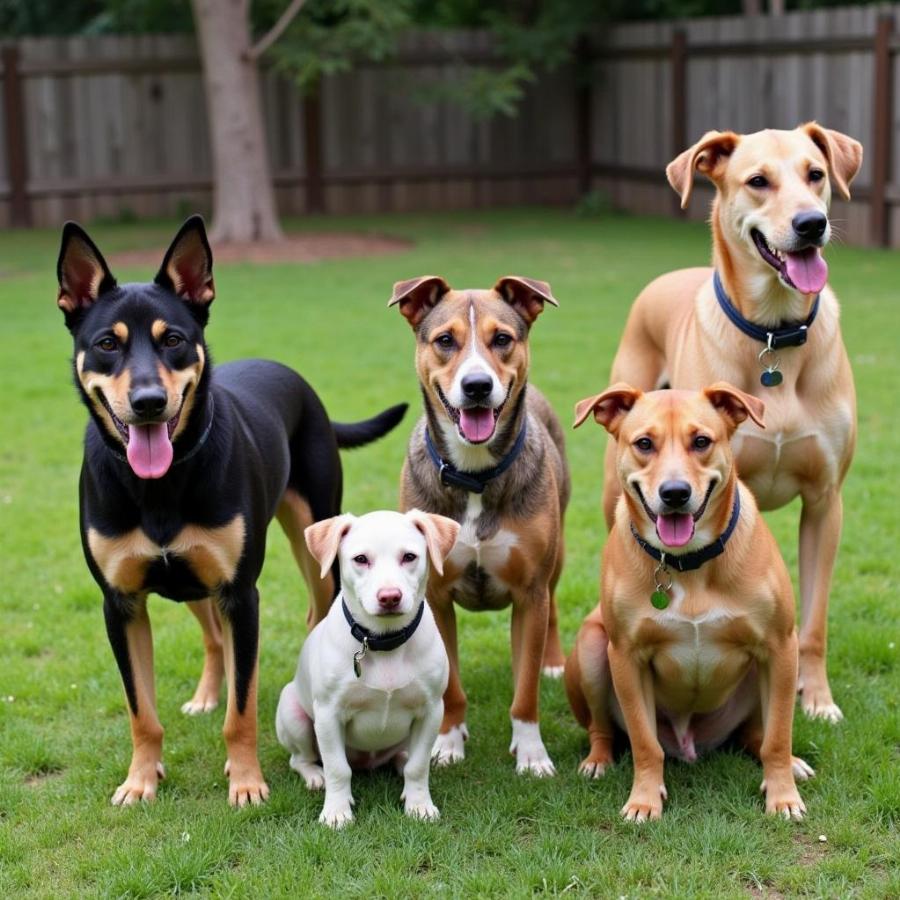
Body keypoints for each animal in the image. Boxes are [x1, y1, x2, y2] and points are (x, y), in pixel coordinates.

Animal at [57, 220, 404, 808]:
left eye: (173, 339)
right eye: (106, 344)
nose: (148, 402)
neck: (160, 486)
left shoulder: (240, 593)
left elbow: (242, 712)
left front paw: (245, 781)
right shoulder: (121, 603)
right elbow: (141, 709)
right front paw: (140, 779)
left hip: (314, 540)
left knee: (312, 614)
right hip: (195, 581)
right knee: (214, 638)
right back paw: (205, 695)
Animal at [274, 510, 458, 828]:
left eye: (409, 556)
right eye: (360, 559)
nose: (390, 597)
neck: (383, 643)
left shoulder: (432, 711)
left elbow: (418, 766)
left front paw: (419, 805)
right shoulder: (328, 714)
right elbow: (338, 768)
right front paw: (336, 812)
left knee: (404, 758)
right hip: (293, 713)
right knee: (301, 759)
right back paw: (315, 776)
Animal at [388, 276, 568, 772]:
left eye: (502, 339)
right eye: (445, 340)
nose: (476, 385)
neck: (474, 473)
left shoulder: (530, 592)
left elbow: (525, 690)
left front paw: (531, 753)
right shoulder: (435, 595)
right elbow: (450, 686)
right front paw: (448, 742)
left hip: (556, 558)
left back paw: (551, 660)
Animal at [568, 384, 812, 820]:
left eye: (701, 441)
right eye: (644, 444)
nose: (675, 493)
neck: (686, 563)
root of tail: (688, 740)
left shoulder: (780, 647)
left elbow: (777, 738)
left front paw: (783, 795)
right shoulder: (626, 657)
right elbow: (645, 743)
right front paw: (644, 799)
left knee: (756, 734)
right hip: (592, 647)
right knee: (602, 728)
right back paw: (598, 759)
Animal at [604, 125, 864, 724]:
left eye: (816, 174)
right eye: (758, 181)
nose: (811, 224)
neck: (774, 336)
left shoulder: (825, 501)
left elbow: (813, 621)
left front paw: (817, 698)